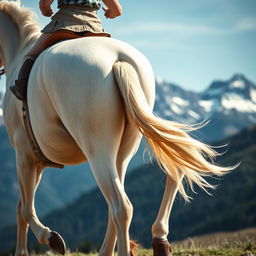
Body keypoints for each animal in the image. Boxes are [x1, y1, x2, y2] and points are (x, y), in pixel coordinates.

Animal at [0, 2, 232, 256]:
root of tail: (117, 60)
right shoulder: (37, 162)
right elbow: (21, 207)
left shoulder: (24, 155)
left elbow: (25, 209)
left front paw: (49, 238)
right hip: (123, 152)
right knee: (132, 194)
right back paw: (150, 240)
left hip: (97, 151)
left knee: (121, 206)